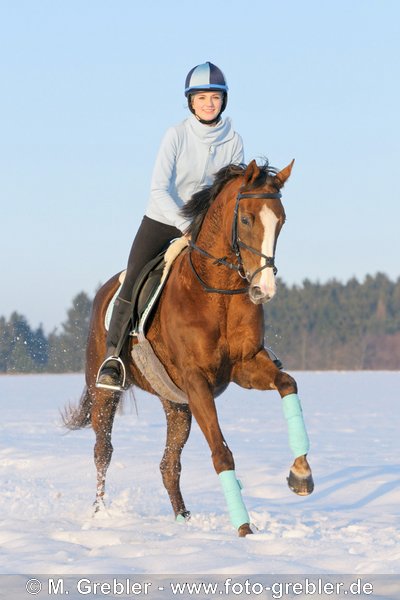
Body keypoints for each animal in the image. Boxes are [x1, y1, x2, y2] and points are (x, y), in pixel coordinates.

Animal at [64, 158, 312, 536]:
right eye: (246, 219)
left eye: (281, 221)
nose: (263, 289)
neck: (217, 292)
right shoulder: (197, 381)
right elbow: (221, 453)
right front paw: (244, 530)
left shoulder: (245, 366)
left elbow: (288, 383)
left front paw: (300, 474)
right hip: (105, 391)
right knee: (102, 451)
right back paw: (100, 513)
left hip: (176, 404)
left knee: (169, 465)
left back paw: (183, 519)